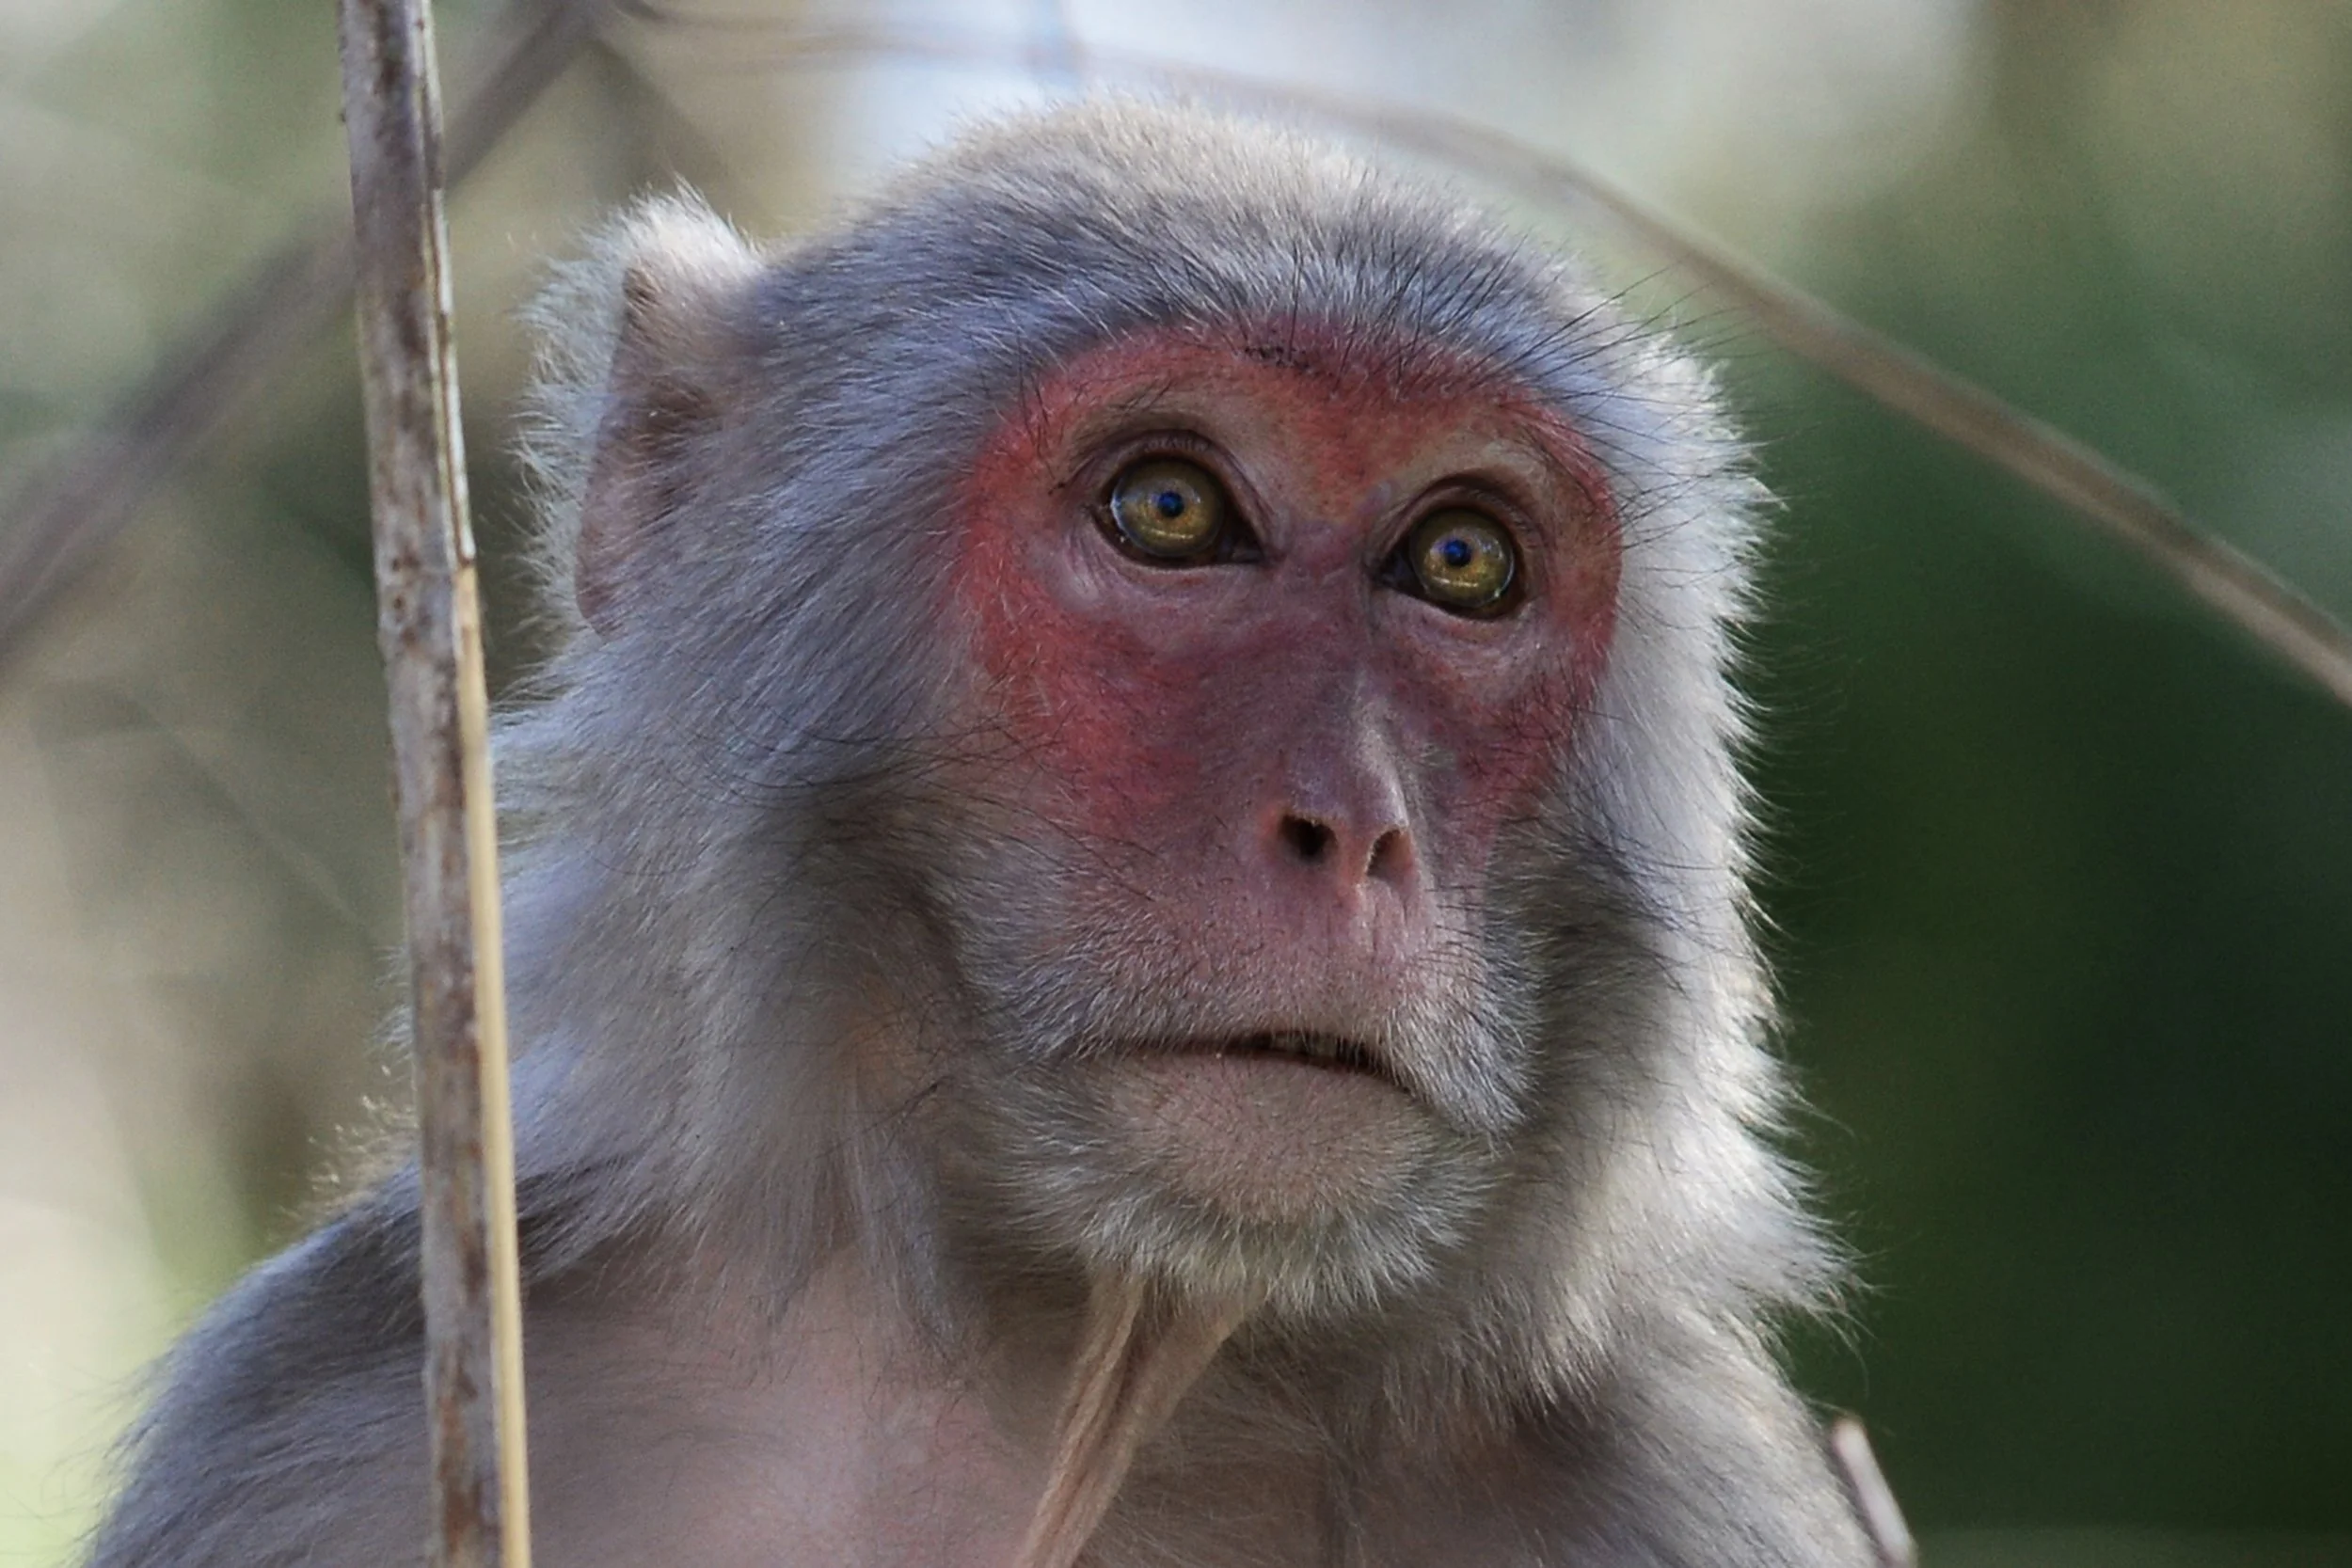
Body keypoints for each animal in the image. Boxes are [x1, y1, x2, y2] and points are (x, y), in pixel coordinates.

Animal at [86, 100, 1877, 1568]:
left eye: (1460, 560)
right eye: (1171, 510)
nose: (1358, 826)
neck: (1073, 1362)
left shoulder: (1683, 1488)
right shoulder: (321, 1415)